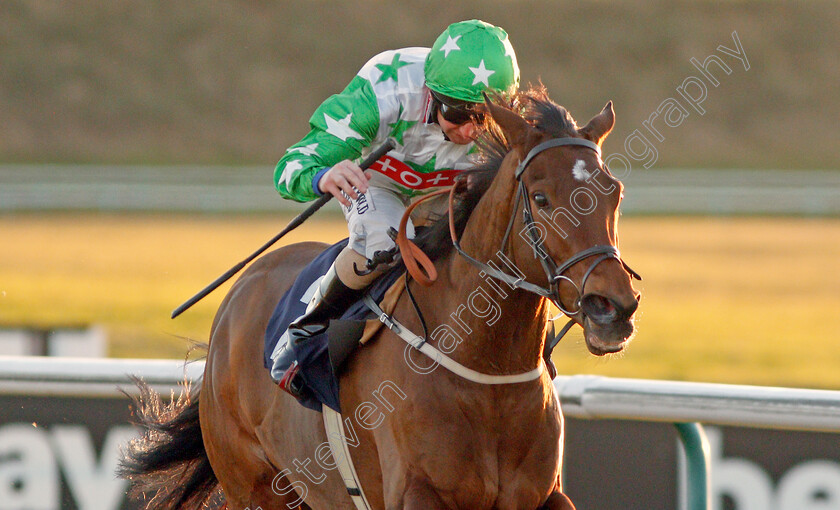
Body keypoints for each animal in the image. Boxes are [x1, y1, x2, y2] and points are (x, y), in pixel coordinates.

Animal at [121, 85, 640, 508]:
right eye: (541, 198)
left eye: (614, 191)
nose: (613, 306)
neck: (487, 373)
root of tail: (240, 291)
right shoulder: (416, 492)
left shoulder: (542, 495)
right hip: (254, 486)